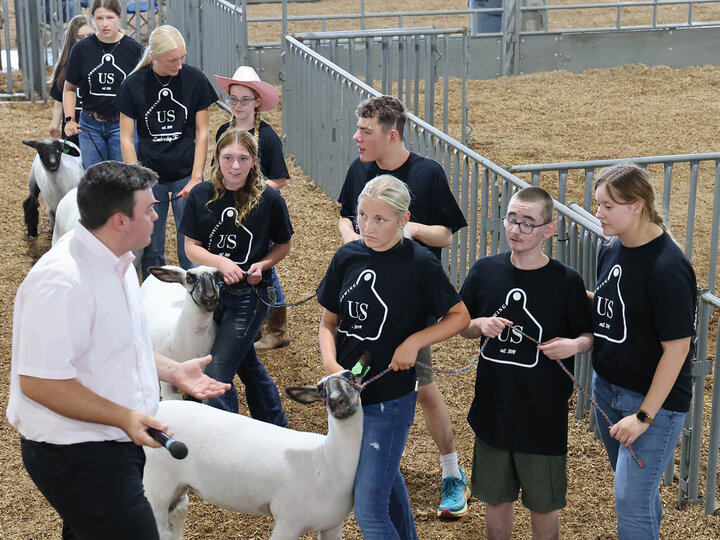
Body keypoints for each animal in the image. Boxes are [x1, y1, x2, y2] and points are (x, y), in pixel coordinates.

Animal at [143, 372, 362, 540]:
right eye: (321, 390)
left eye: (352, 377)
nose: (338, 402)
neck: (326, 459)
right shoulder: (289, 521)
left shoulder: (332, 524)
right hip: (155, 486)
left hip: (177, 487)